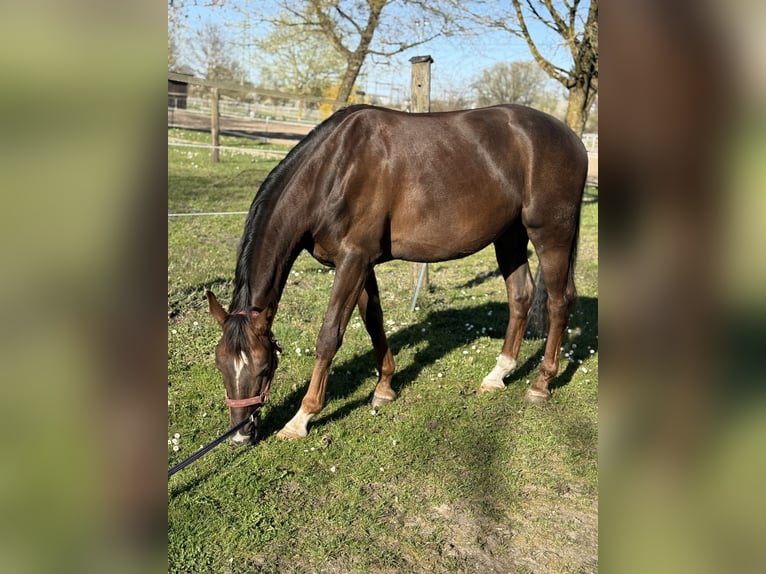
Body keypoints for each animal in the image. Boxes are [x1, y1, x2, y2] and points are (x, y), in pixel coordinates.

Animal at [205, 104, 587, 444]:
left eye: (263, 367)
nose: (240, 436)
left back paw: (540, 384)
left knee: (558, 301)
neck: (334, 168)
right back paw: (498, 375)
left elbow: (329, 336)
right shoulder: (360, 263)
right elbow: (373, 320)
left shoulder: (354, 259)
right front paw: (385, 387)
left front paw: (301, 417)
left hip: (550, 233)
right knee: (521, 295)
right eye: (220, 365)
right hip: (510, 235)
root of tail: (573, 139)